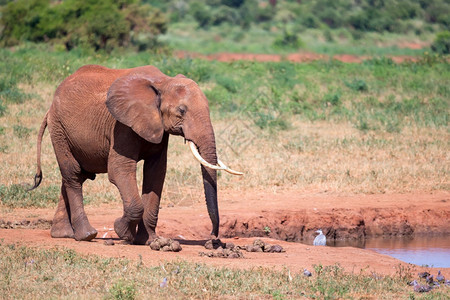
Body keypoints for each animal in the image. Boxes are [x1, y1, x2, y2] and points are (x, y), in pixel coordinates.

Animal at [30, 64, 243, 245]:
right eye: (181, 110)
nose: (214, 239)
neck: (163, 81)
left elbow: (156, 172)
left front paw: (149, 241)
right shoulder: (121, 125)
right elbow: (119, 170)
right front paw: (123, 233)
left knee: (75, 176)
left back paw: (63, 234)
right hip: (59, 129)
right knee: (73, 174)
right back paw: (86, 235)